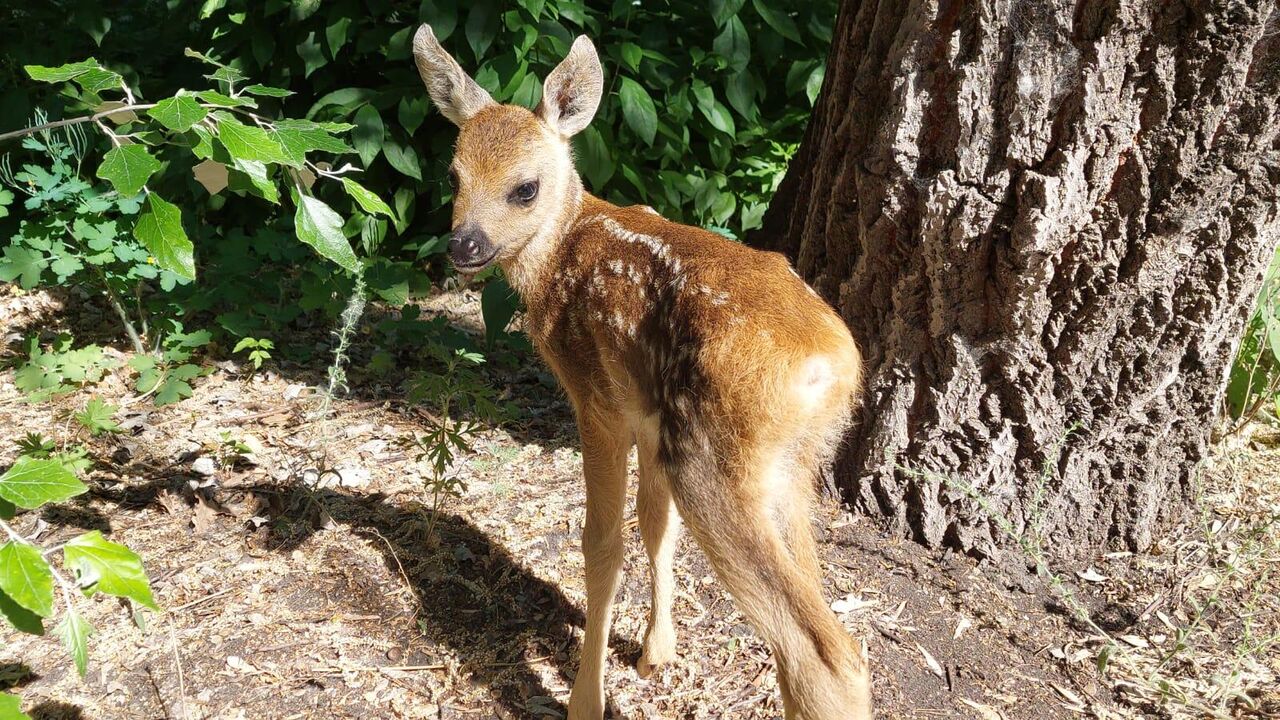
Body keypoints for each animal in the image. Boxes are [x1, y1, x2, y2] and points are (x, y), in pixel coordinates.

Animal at [414, 23, 875, 717]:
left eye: (525, 187)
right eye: (452, 173)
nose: (464, 245)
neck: (558, 258)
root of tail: (836, 367)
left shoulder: (597, 401)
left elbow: (603, 542)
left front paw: (586, 698)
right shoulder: (652, 415)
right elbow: (657, 527)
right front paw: (656, 654)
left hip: (717, 461)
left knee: (825, 652)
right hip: (787, 466)